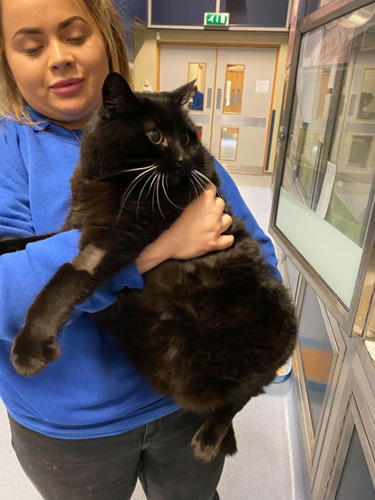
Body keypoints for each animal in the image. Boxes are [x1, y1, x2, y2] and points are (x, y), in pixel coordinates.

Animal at [1, 72, 298, 462]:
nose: (184, 158)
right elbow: (27, 242)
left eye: (186, 136)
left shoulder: (118, 237)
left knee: (239, 399)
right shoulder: (74, 226)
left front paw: (31, 347)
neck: (109, 178)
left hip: (270, 345)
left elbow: (67, 278)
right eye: (155, 135)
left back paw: (209, 439)